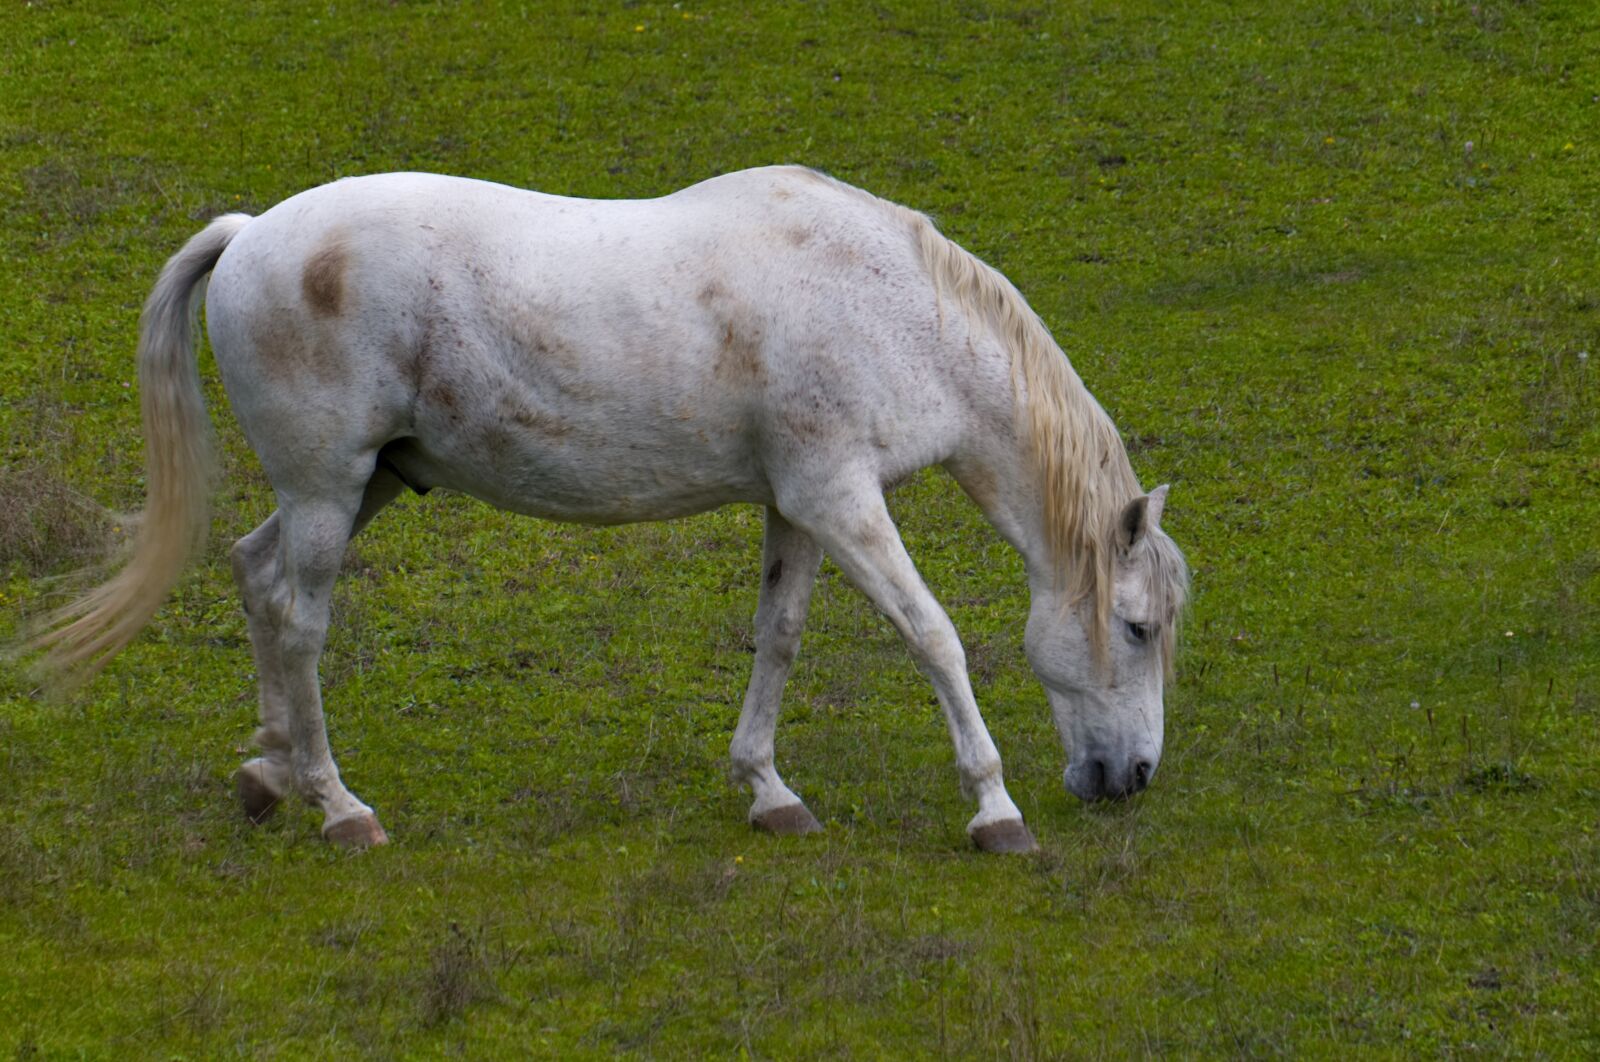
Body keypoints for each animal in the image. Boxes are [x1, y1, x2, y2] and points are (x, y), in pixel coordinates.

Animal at [34, 166, 1190, 857]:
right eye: (1135, 628)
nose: (1132, 778)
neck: (886, 303)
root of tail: (248, 235)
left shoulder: (799, 505)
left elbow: (779, 635)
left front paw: (767, 790)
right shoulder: (841, 498)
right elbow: (934, 636)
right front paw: (994, 809)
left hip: (364, 485)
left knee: (252, 570)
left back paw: (269, 771)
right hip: (328, 492)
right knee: (295, 618)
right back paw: (338, 805)